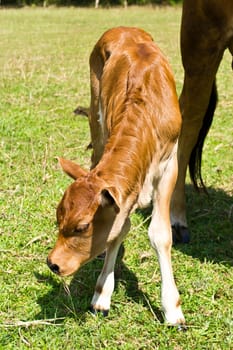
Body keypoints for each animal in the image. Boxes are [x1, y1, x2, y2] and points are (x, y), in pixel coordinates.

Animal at [47, 26, 186, 326]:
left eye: (82, 227)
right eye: (58, 218)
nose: (53, 263)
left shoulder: (170, 165)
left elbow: (160, 233)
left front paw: (172, 308)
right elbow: (119, 229)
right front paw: (102, 295)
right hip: (96, 116)